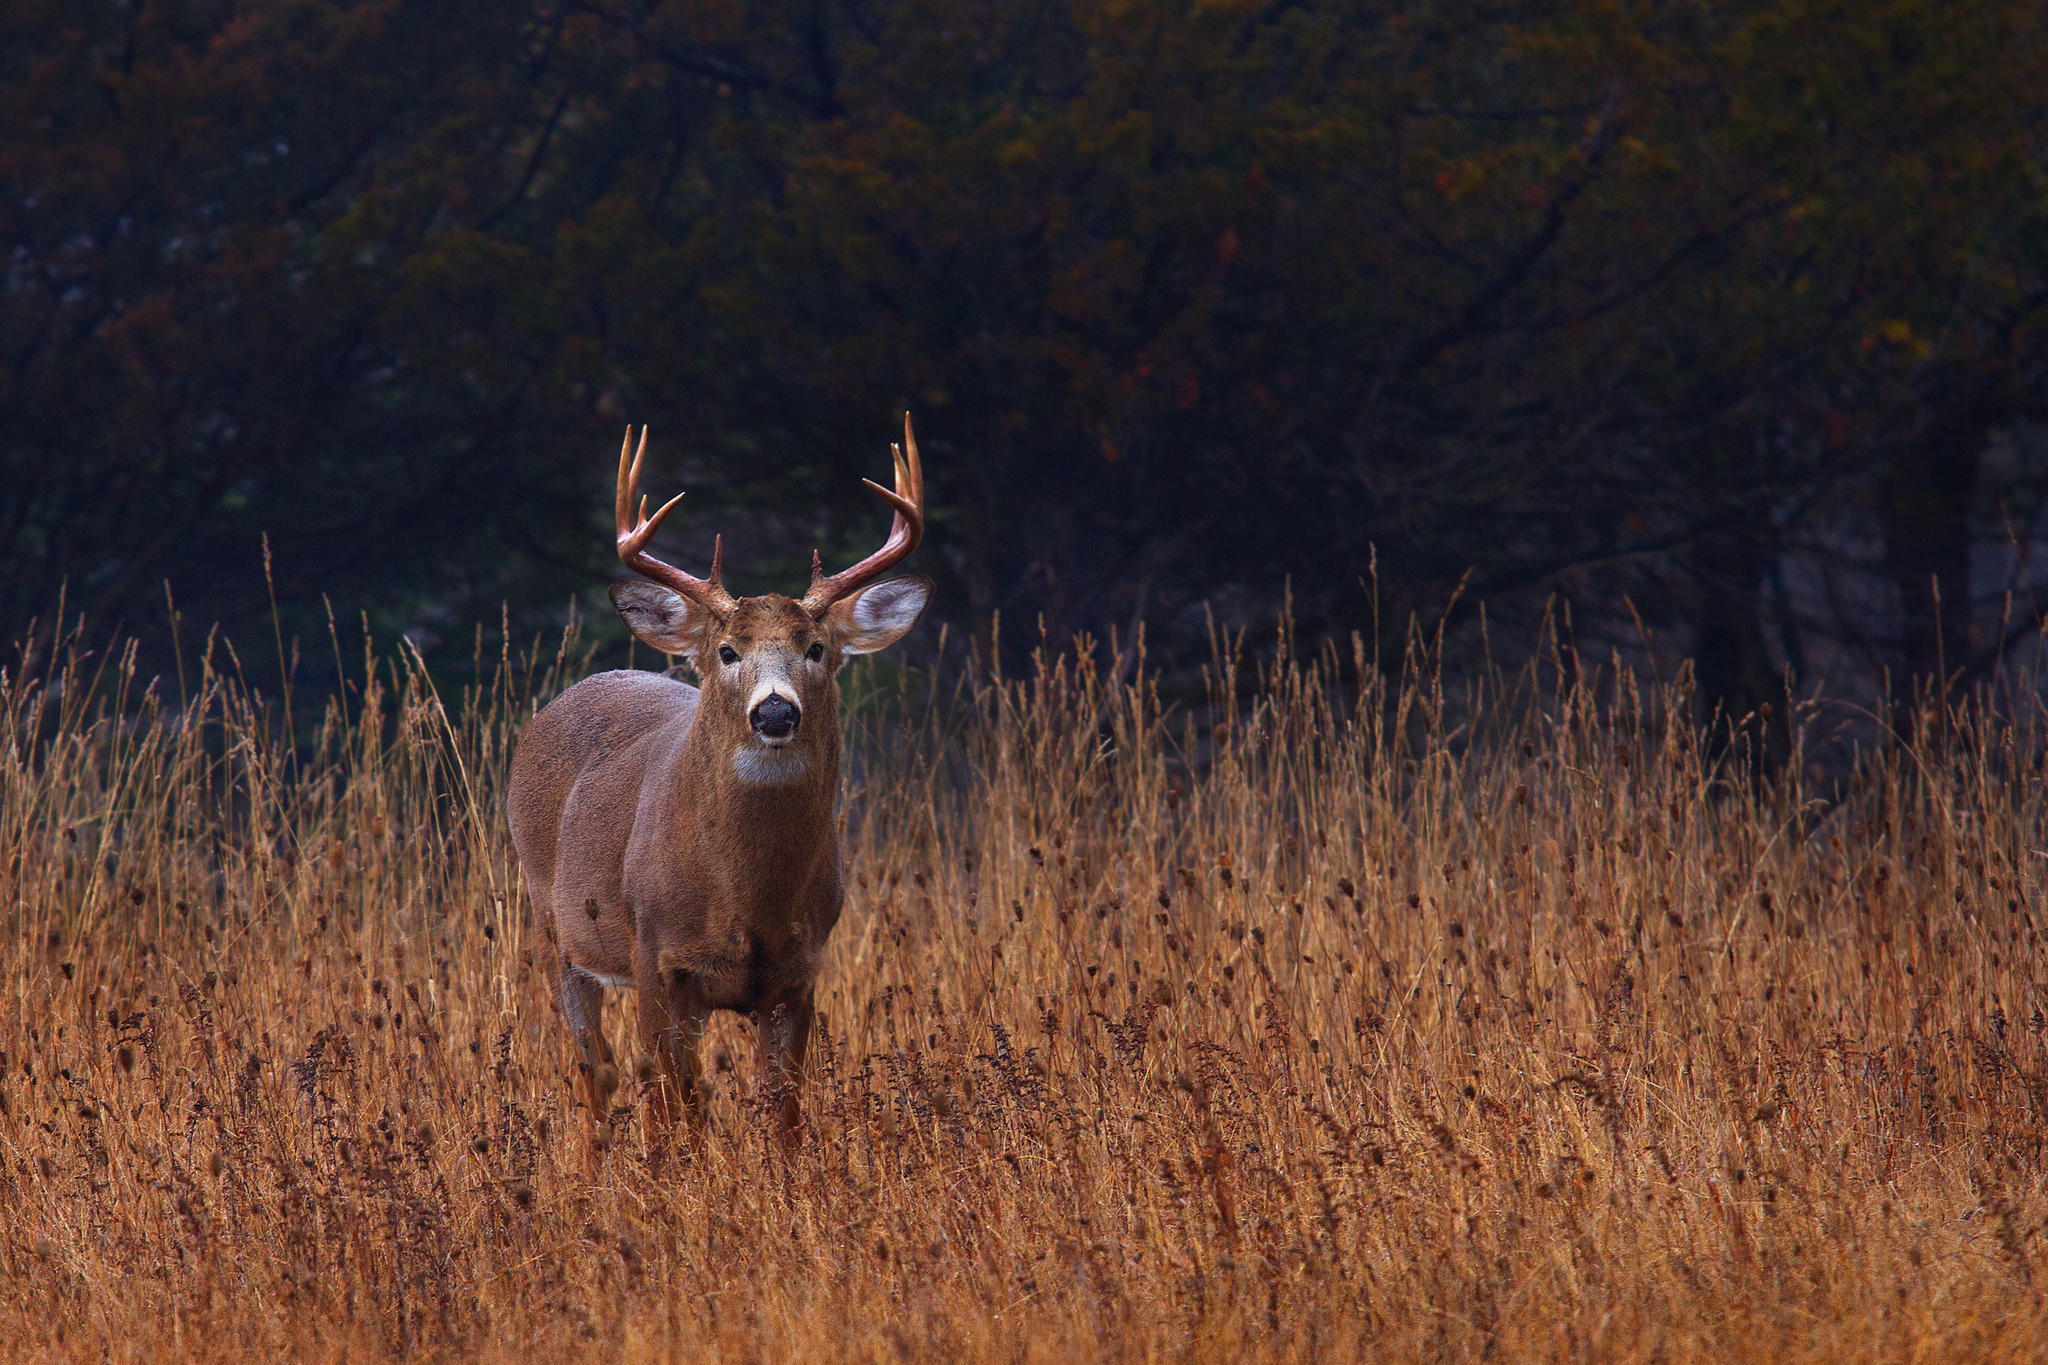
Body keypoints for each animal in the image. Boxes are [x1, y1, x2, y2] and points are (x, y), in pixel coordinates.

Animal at [507, 417, 933, 1146]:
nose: (775, 710)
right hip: (554, 928)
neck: (745, 897)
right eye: (728, 650)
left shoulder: (799, 970)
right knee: (600, 1071)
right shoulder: (659, 959)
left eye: (816, 648)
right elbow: (671, 1108)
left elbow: (780, 1112)